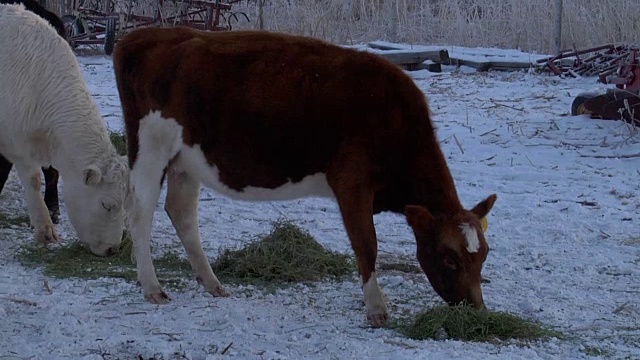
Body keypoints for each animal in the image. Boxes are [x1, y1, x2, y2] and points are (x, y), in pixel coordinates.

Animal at [112, 27, 498, 326]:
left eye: (483, 256)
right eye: (449, 258)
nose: (476, 310)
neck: (394, 118)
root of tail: (144, 35)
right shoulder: (352, 184)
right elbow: (366, 245)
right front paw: (376, 307)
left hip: (186, 159)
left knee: (181, 212)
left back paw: (211, 282)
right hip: (150, 148)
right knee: (140, 212)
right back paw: (152, 286)